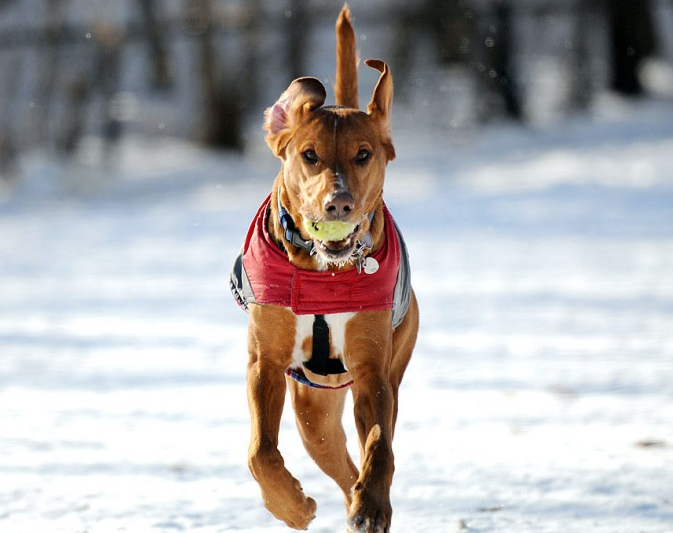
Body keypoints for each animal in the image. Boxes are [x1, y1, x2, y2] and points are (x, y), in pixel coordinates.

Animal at [232, 6, 420, 528]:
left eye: (364, 154)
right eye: (309, 155)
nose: (338, 203)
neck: (322, 271)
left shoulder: (373, 368)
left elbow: (380, 444)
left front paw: (372, 505)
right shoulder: (265, 360)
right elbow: (260, 450)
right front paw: (291, 506)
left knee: (362, 455)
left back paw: (364, 500)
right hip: (312, 408)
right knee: (335, 460)